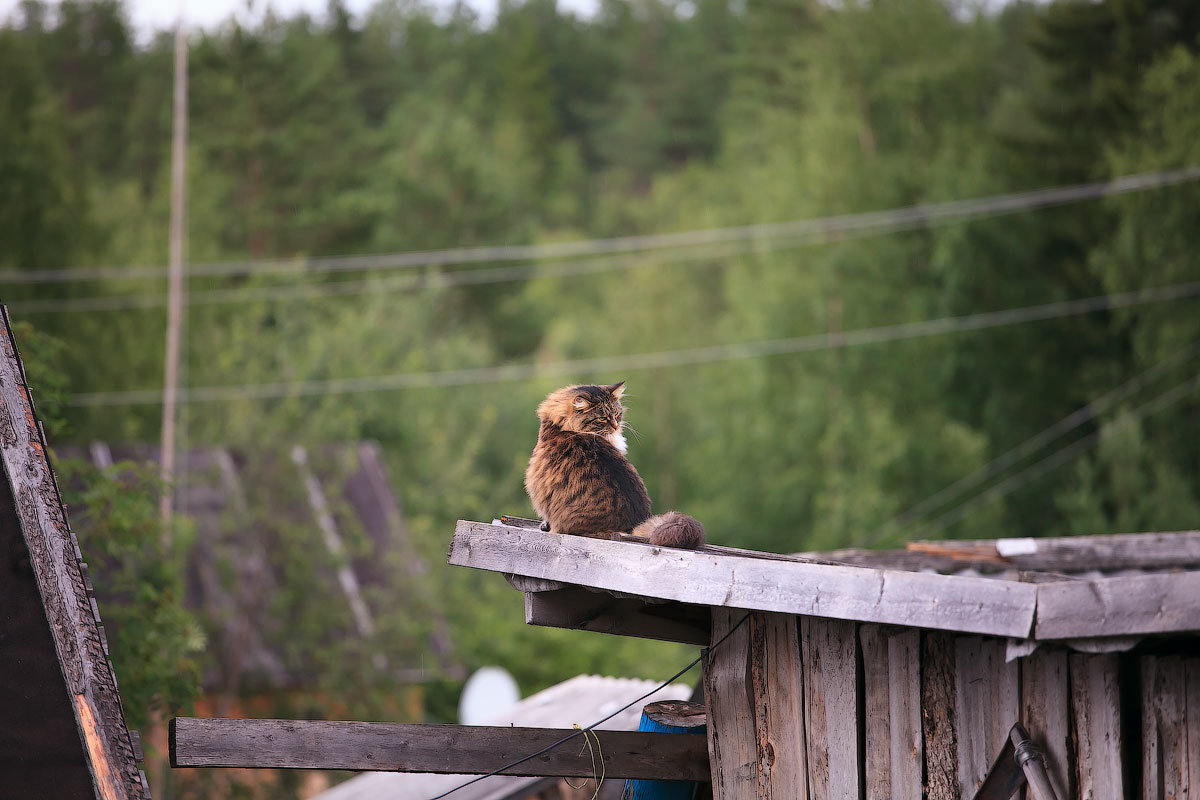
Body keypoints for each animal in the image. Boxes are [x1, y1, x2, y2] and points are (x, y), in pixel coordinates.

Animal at [523, 381, 705, 551]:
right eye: (602, 418)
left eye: (617, 414)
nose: (616, 426)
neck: (562, 426)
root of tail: (633, 527)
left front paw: (545, 525)